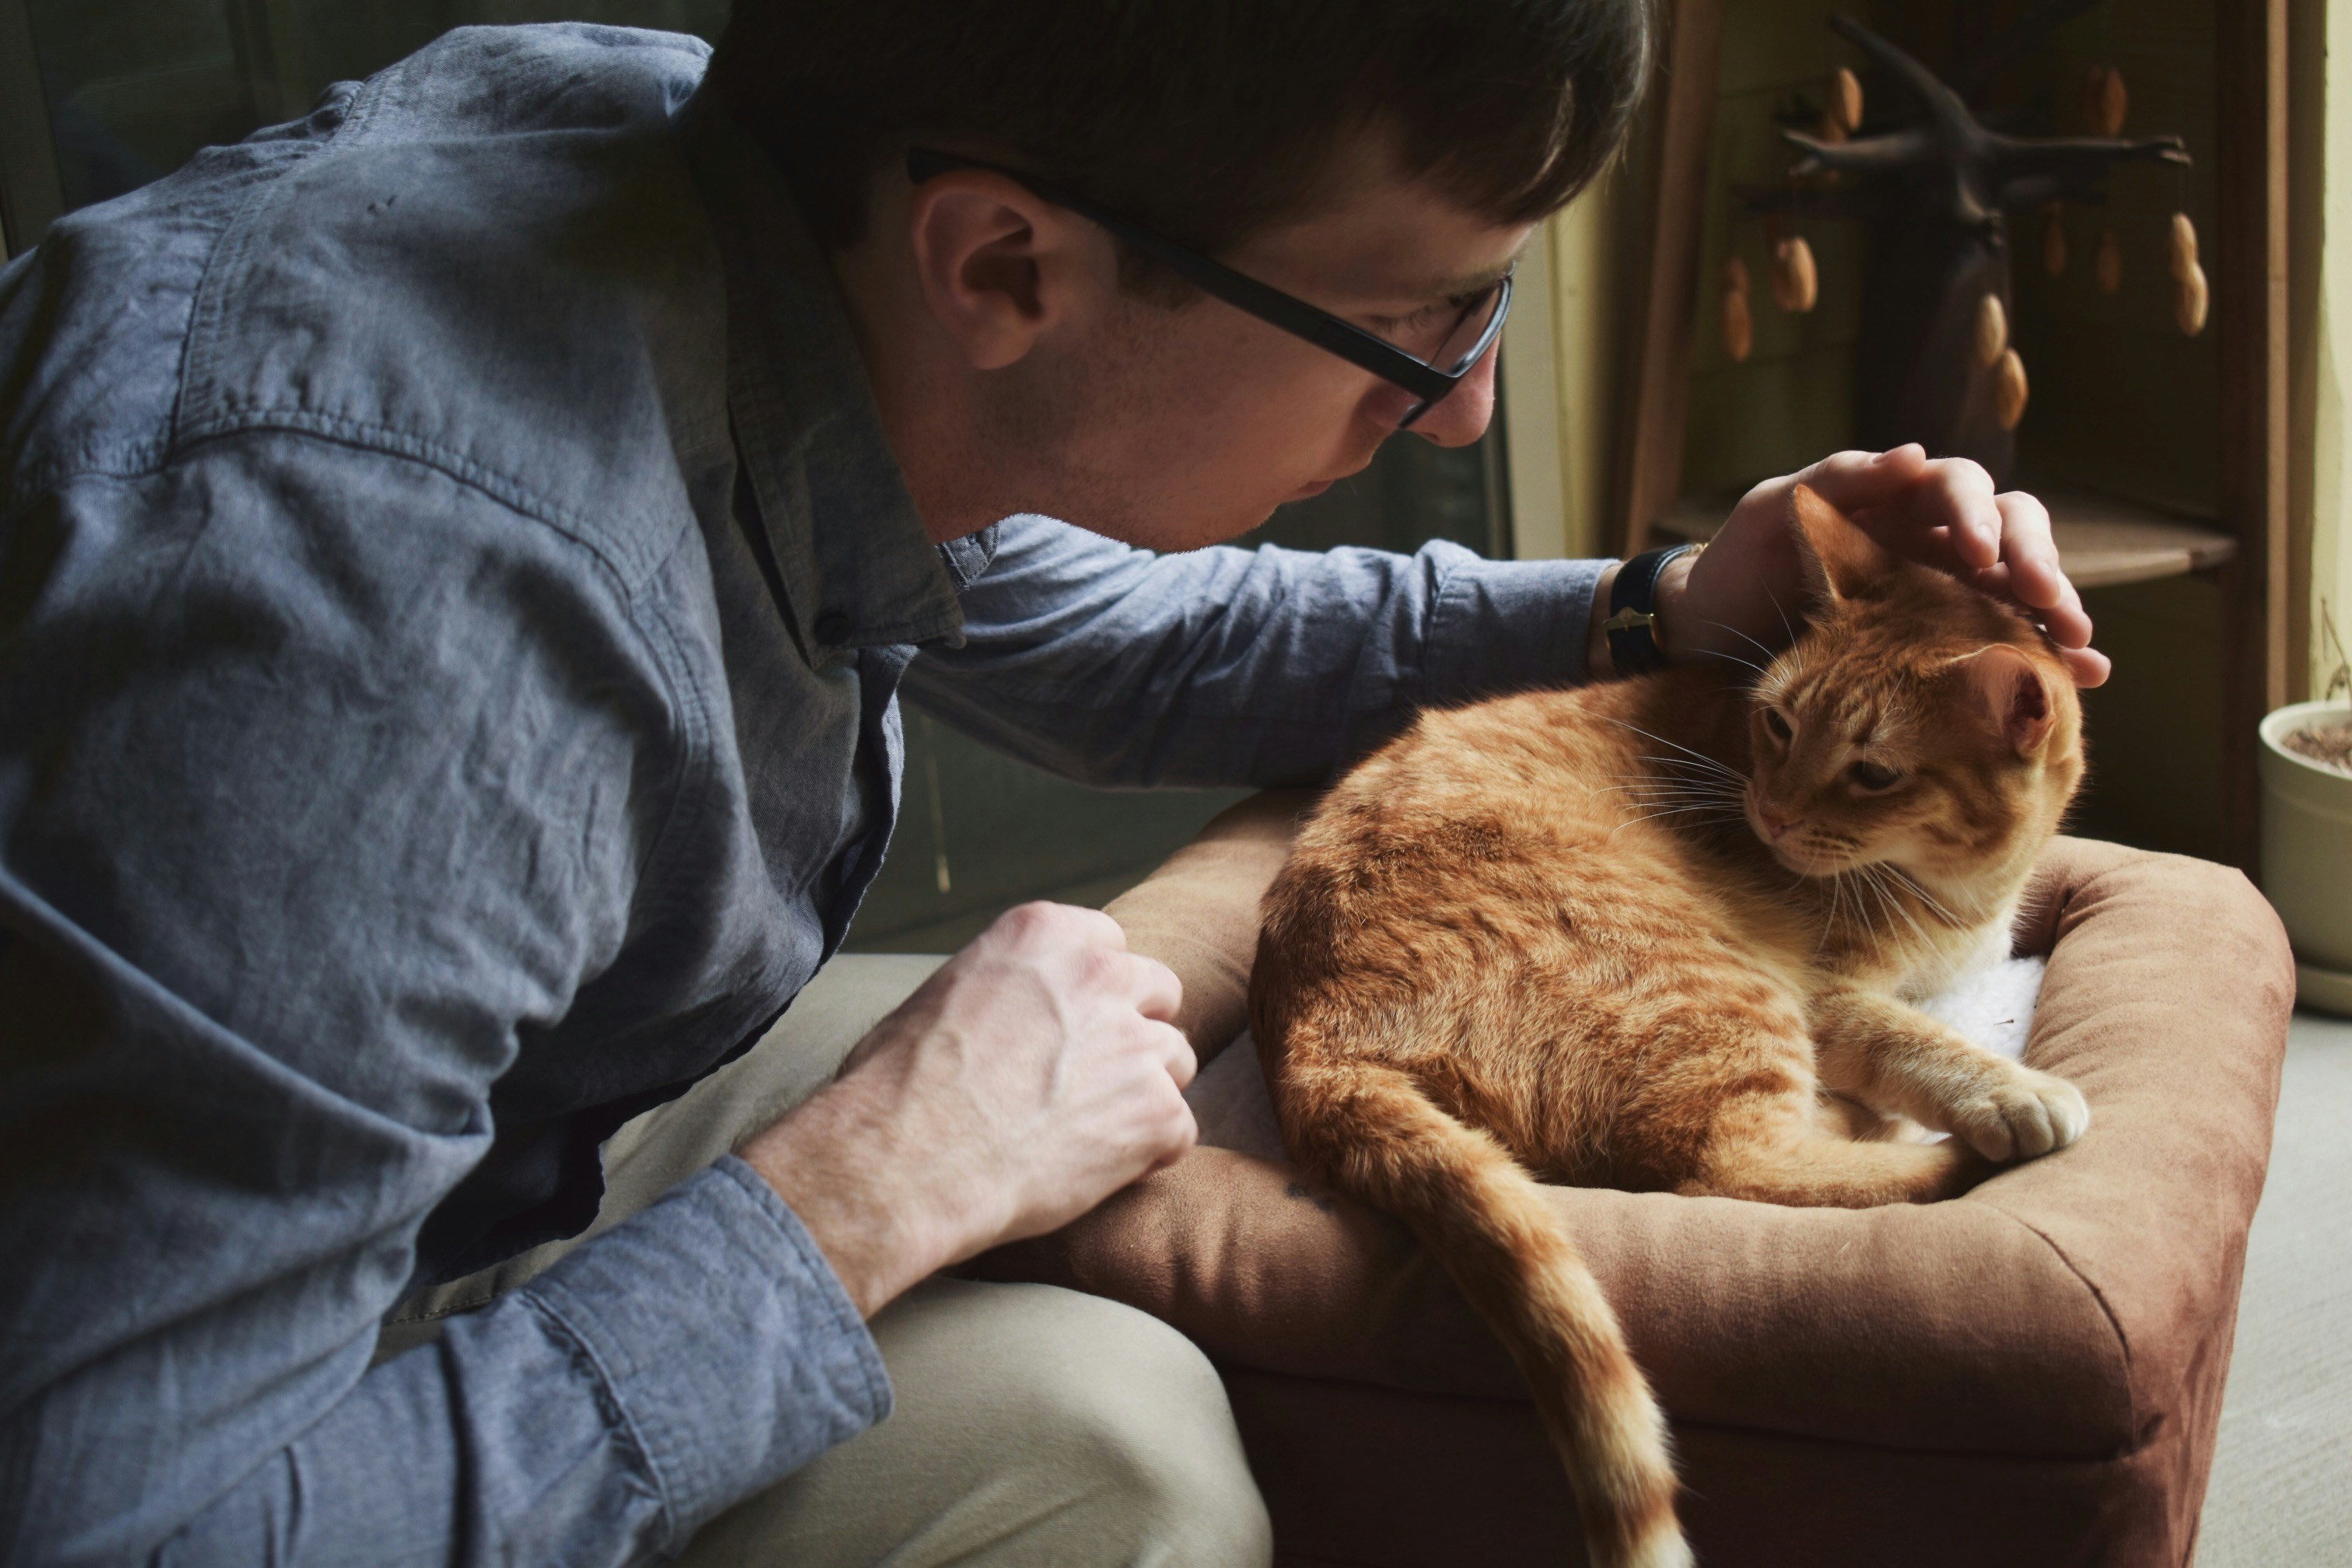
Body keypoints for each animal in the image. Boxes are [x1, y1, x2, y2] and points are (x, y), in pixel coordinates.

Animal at [1260, 486, 2088, 1568]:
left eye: (1874, 773)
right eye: (1777, 722)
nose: (1770, 814)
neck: (1956, 891)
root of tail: (1306, 1038)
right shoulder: (1828, 995)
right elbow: (1916, 1043)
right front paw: (2009, 1090)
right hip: (1726, 992)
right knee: (1728, 1166)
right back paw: (1933, 1149)